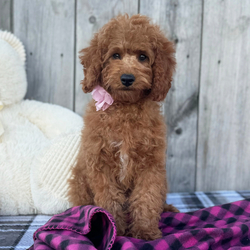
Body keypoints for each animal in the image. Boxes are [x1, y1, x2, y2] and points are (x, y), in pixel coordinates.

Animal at [68, 13, 178, 240]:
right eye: (115, 55)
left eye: (143, 57)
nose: (127, 78)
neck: (126, 107)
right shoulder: (100, 164)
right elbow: (110, 199)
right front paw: (114, 229)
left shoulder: (151, 165)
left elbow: (147, 197)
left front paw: (144, 231)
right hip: (79, 182)